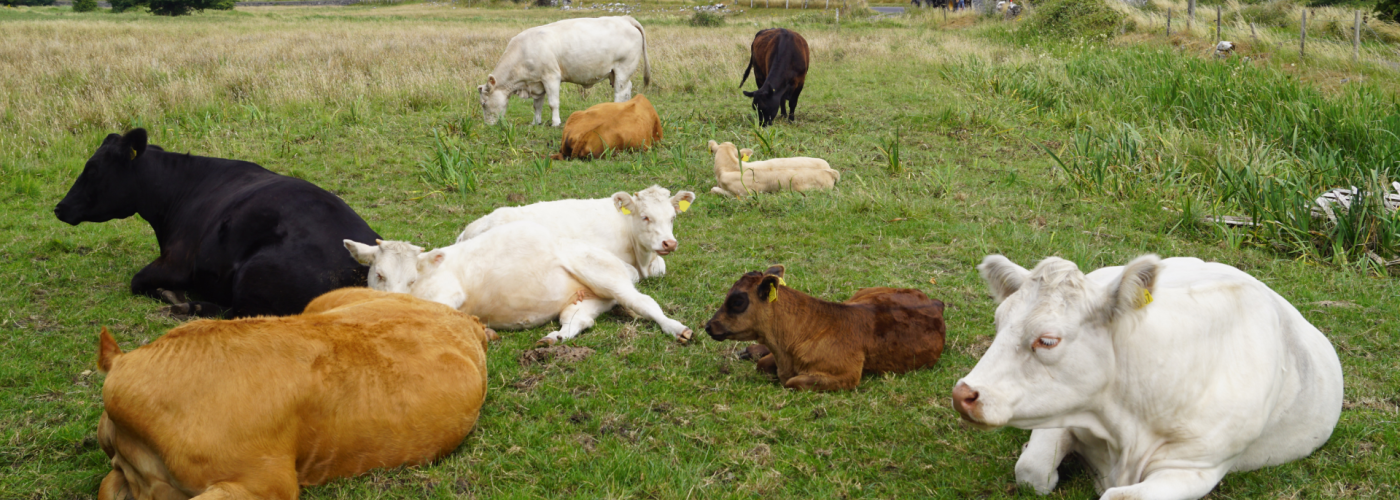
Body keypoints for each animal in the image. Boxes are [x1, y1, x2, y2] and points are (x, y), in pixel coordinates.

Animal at [53, 129, 380, 318]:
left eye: (92, 169)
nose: (60, 207)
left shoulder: (176, 262)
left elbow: (136, 281)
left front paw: (170, 294)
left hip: (253, 273)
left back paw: (191, 306)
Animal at [345, 221, 693, 346]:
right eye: (379, 274)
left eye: (412, 278)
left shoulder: (450, 291)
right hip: (584, 300)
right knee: (579, 321)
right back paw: (553, 339)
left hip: (604, 275)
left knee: (644, 303)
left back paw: (677, 329)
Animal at [479, 16, 651, 127]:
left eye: (484, 103)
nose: (487, 125)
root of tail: (625, 18)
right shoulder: (537, 82)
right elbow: (537, 105)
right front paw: (535, 122)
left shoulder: (551, 76)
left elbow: (553, 103)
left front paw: (555, 123)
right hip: (616, 73)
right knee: (627, 90)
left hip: (623, 67)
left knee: (620, 93)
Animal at [704, 265, 947, 391]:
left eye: (737, 301)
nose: (708, 326)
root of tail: (935, 303)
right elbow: (763, 364)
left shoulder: (847, 377)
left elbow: (792, 382)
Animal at [953, 254, 1344, 500]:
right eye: (999, 322)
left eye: (1047, 340)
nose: (964, 394)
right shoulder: (1061, 410)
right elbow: (1031, 472)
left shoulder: (1195, 468)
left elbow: (1119, 497)